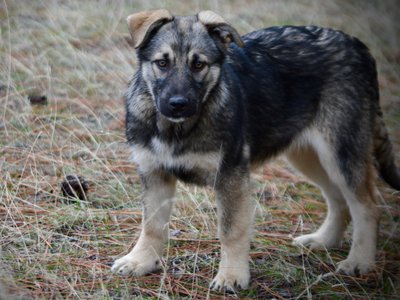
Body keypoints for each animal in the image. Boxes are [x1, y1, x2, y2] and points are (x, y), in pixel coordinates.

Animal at [111, 9, 400, 292]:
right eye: (162, 63)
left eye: (198, 64)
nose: (178, 104)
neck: (177, 129)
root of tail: (356, 44)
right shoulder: (154, 174)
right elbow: (152, 226)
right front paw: (141, 261)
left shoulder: (231, 176)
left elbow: (231, 231)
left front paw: (231, 276)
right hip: (308, 156)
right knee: (338, 200)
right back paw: (324, 240)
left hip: (340, 153)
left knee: (367, 207)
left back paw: (360, 261)